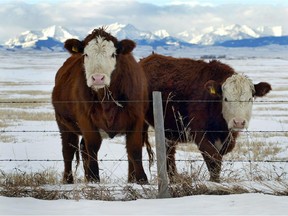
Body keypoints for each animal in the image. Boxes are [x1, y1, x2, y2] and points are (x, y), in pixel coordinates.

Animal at [51, 27, 153, 184]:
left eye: (113, 54)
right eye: (86, 54)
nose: (98, 78)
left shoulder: (137, 119)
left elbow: (134, 149)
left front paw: (141, 180)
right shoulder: (85, 119)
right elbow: (92, 147)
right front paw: (94, 179)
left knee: (82, 148)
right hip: (63, 123)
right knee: (68, 150)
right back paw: (68, 180)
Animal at [140, 52, 272, 182]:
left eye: (250, 99)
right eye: (226, 98)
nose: (238, 122)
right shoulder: (200, 135)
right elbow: (213, 161)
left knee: (169, 152)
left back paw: (174, 179)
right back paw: (141, 179)